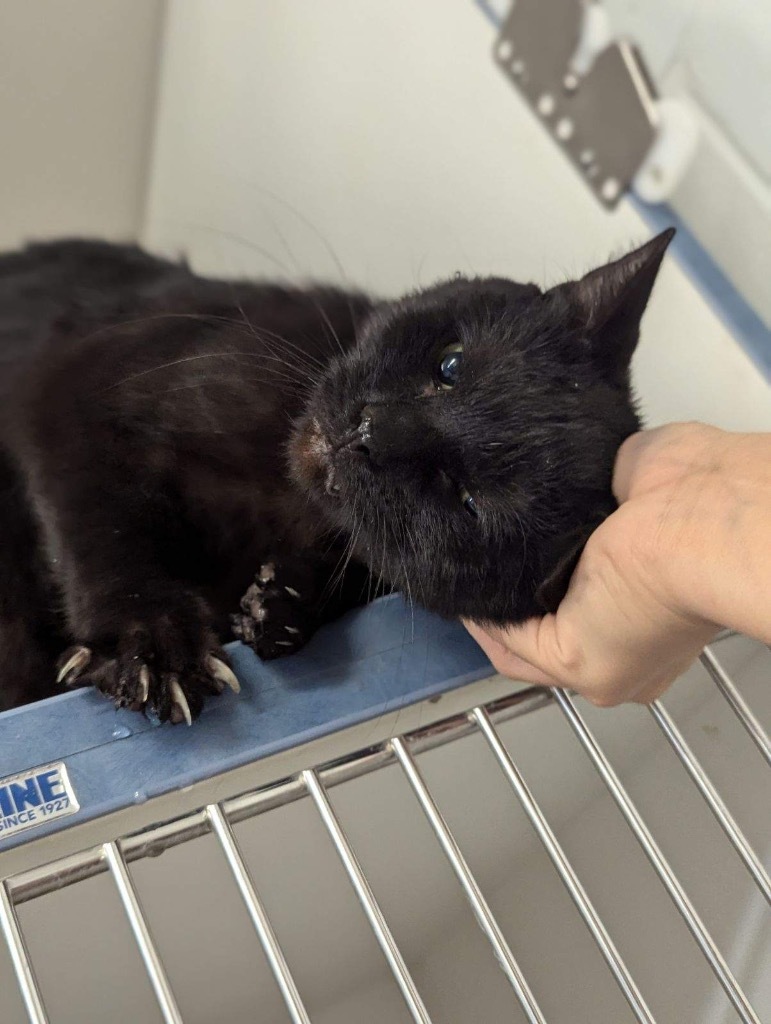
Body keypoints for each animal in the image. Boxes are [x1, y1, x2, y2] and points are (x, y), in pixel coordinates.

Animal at [0, 231, 671, 720]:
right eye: (451, 364)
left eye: (467, 499)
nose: (374, 432)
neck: (280, 495)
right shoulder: (74, 384)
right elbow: (104, 531)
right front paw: (152, 643)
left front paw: (283, 603)